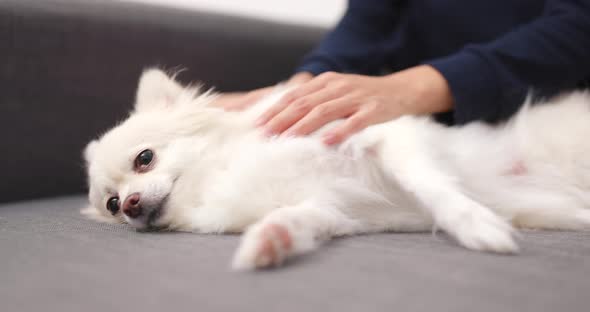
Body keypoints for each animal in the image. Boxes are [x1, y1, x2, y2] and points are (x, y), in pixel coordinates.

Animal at [82, 69, 590, 270]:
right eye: (112, 204)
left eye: (145, 158)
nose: (131, 205)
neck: (224, 171)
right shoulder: (330, 207)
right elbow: (296, 219)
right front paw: (268, 242)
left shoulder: (385, 138)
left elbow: (433, 186)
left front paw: (477, 225)